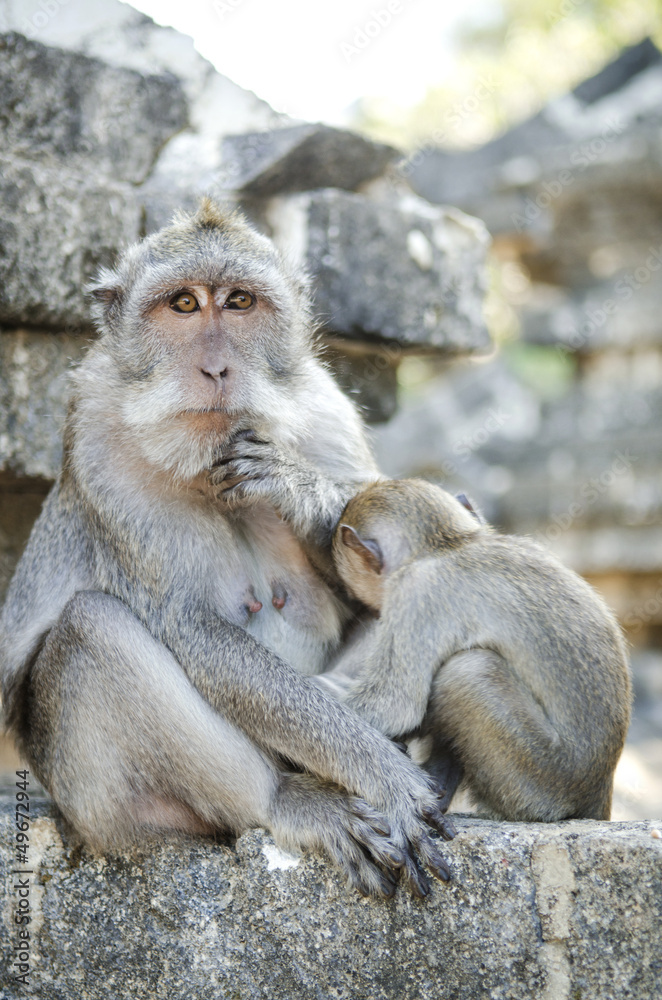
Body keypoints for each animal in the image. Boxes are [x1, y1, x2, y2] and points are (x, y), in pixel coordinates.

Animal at [0, 201, 454, 900]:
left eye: (240, 302)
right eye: (184, 304)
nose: (217, 369)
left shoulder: (326, 412)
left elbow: (374, 584)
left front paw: (293, 487)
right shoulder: (100, 442)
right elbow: (190, 626)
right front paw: (381, 772)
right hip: (100, 807)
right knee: (93, 629)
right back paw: (292, 802)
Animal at [320, 480, 632, 824]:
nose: (369, 610)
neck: (449, 544)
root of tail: (599, 789)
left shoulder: (416, 591)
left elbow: (394, 705)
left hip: (540, 782)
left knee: (467, 671)